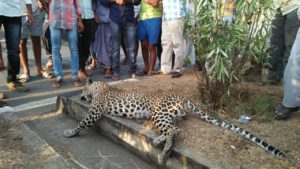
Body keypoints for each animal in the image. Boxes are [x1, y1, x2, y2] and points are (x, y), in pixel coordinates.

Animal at [63, 79, 286, 165]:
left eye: (83, 90)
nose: (81, 96)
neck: (100, 86)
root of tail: (182, 97)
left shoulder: (94, 112)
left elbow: (81, 123)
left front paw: (69, 132)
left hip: (158, 114)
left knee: (173, 131)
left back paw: (162, 154)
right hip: (166, 116)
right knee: (176, 129)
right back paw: (157, 142)